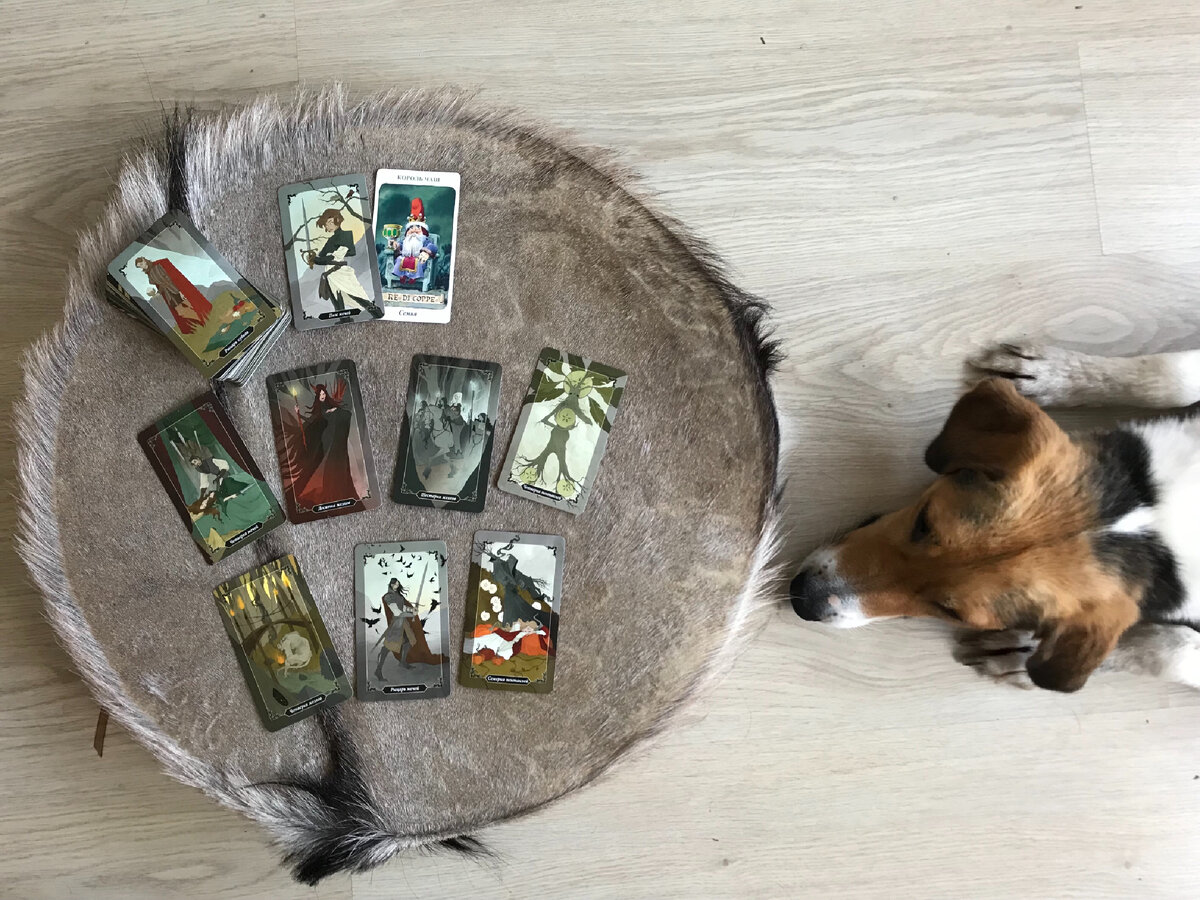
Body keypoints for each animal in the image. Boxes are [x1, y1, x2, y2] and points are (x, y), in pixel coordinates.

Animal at [789, 342, 1200, 693]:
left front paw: (1022, 650)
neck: (1172, 517)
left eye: (950, 611)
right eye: (923, 521)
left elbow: (1176, 650)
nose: (802, 598)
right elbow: (1178, 373)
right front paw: (1055, 375)